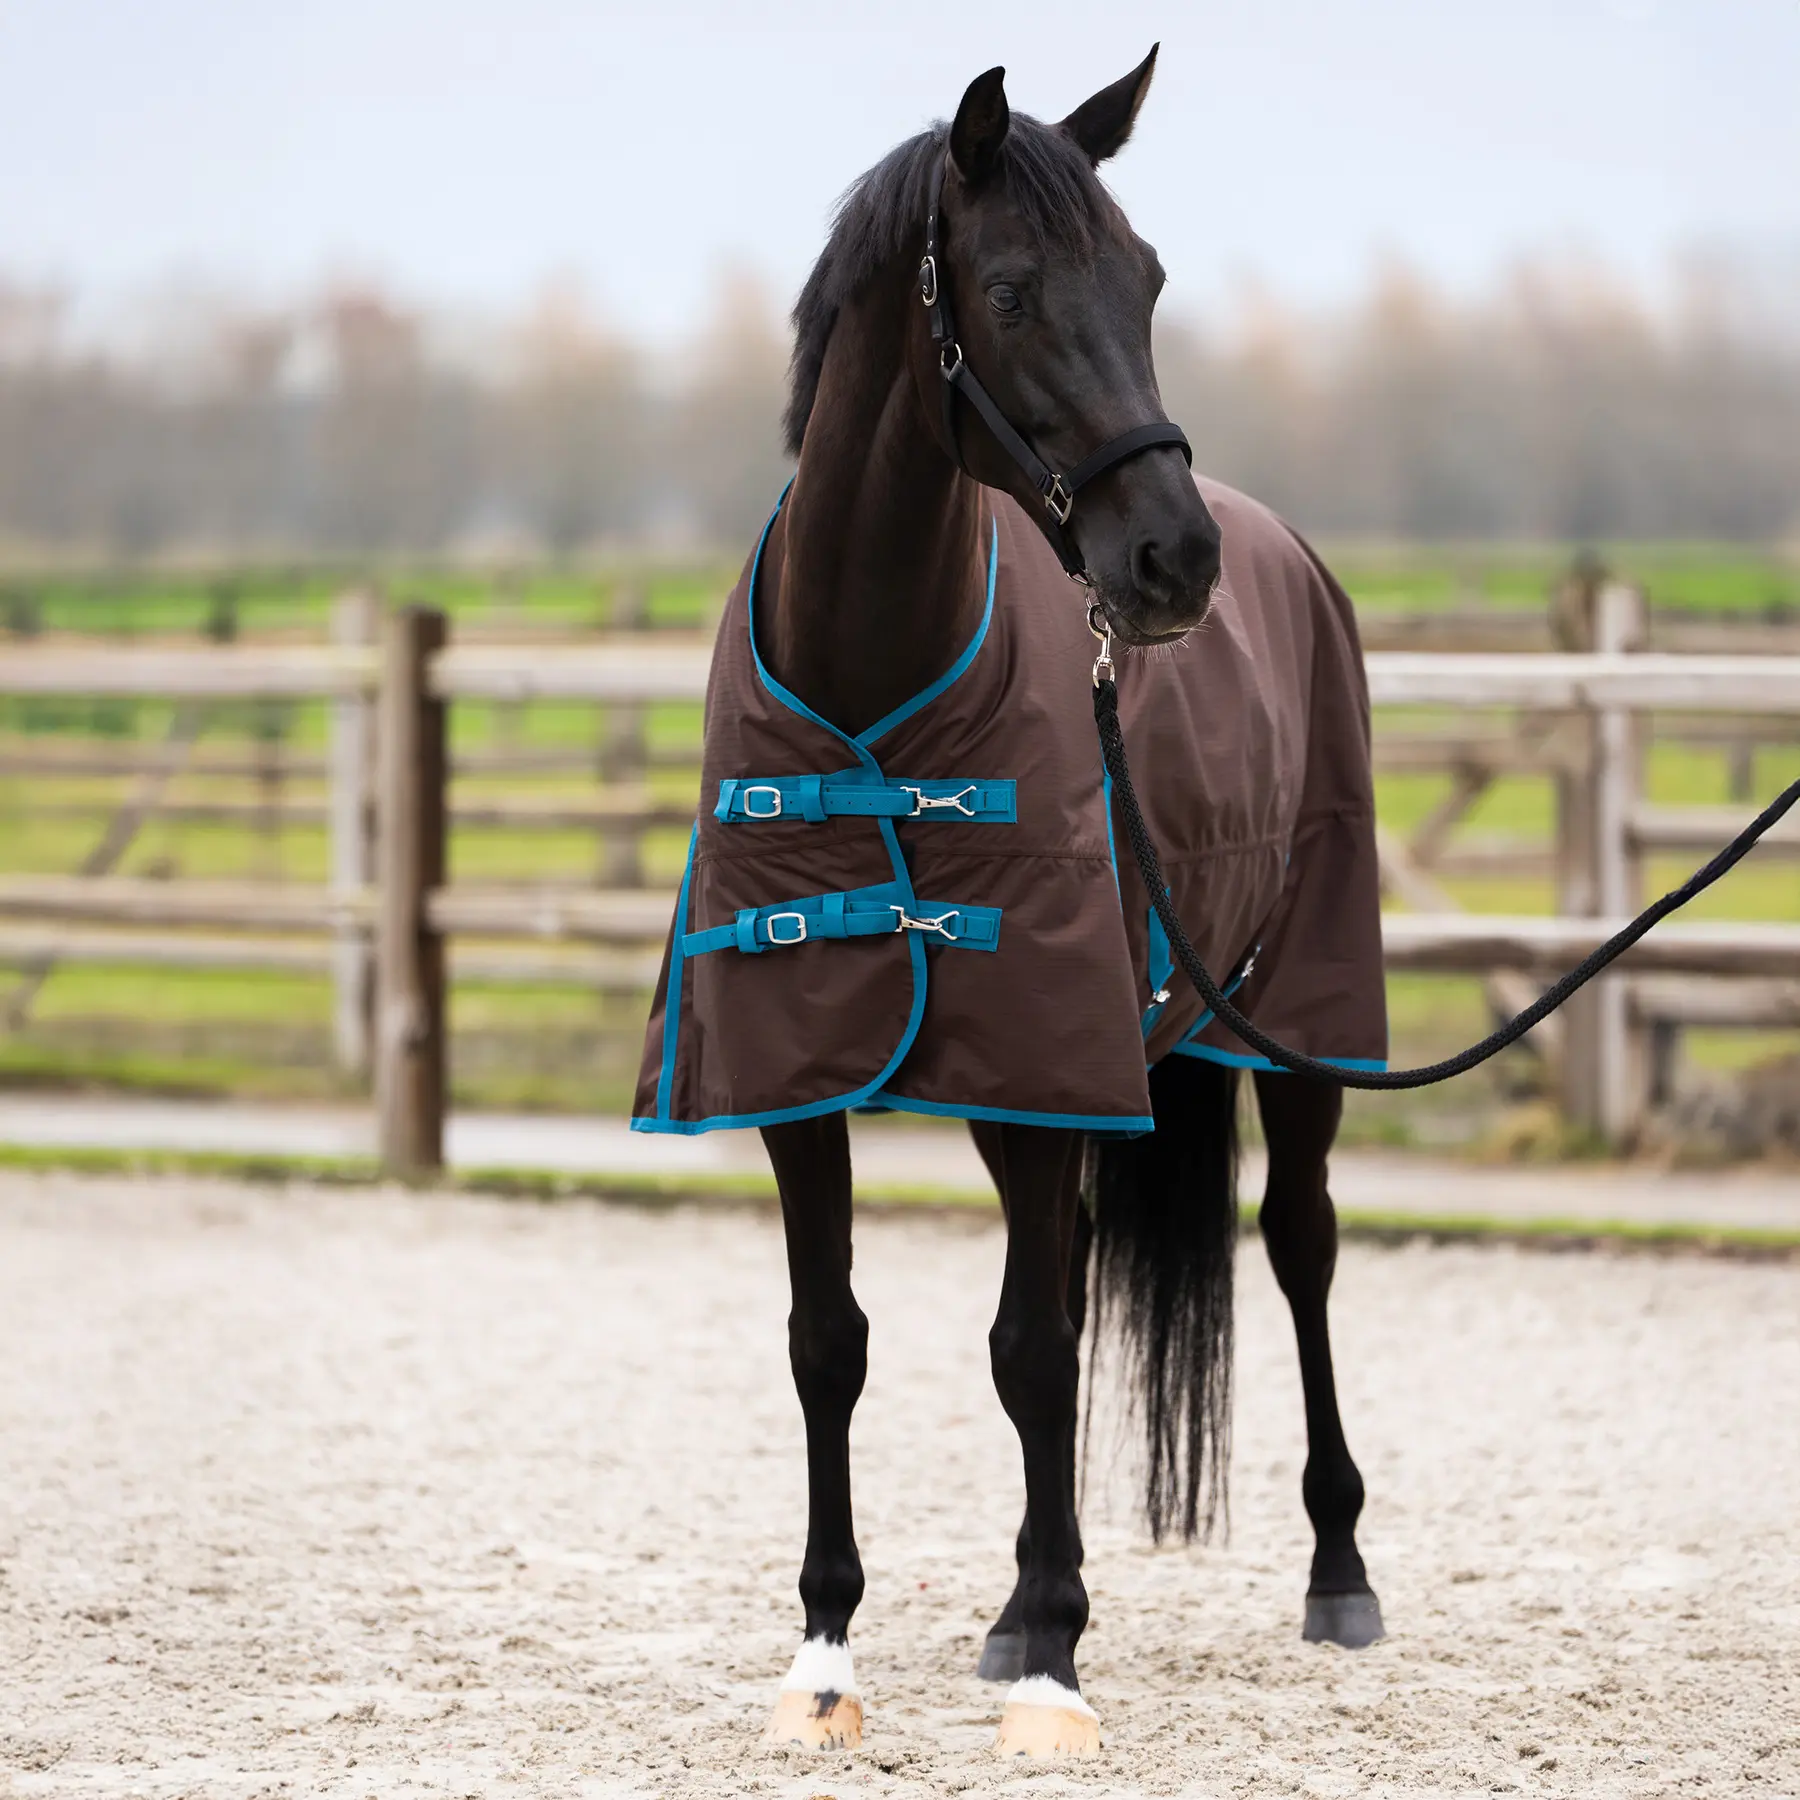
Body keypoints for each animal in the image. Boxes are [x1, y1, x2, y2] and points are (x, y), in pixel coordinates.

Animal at [632, 48, 1388, 1758]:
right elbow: (830, 1345)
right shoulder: (808, 1081)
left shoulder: (1049, 1072)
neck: (872, 678)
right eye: (1016, 291)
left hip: (1300, 1028)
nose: (1172, 559)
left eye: (1151, 277)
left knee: (1300, 1249)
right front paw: (828, 1658)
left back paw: (1336, 1574)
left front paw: (1054, 1666)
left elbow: (1035, 1354)